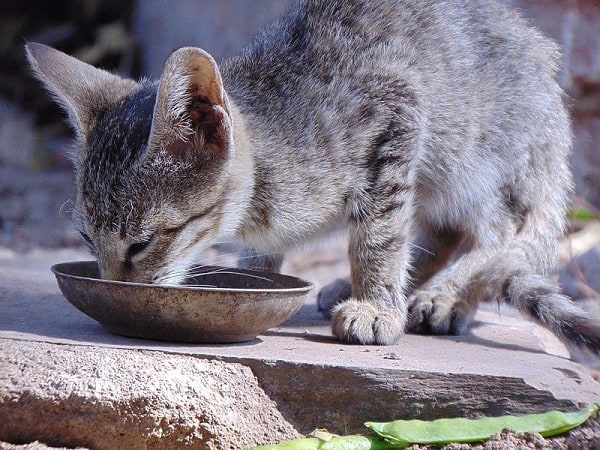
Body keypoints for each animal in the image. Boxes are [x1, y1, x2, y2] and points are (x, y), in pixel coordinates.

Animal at [25, 0, 600, 356]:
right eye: (87, 240)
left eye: (142, 243)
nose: (114, 289)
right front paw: (266, 270)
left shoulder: (398, 112)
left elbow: (380, 235)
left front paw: (377, 305)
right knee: (447, 232)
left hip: (477, 157)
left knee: (503, 236)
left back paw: (443, 296)